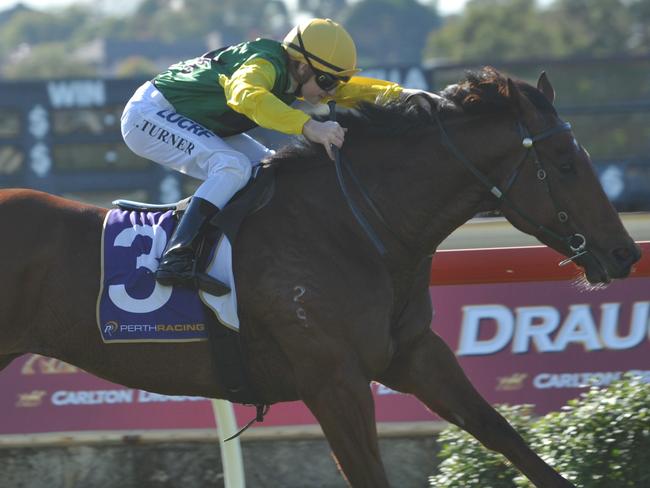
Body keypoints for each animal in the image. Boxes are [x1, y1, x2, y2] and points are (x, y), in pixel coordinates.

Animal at [0, 66, 636, 486]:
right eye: (565, 164)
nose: (626, 253)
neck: (355, 226)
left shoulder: (414, 354)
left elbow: (505, 435)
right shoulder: (332, 380)